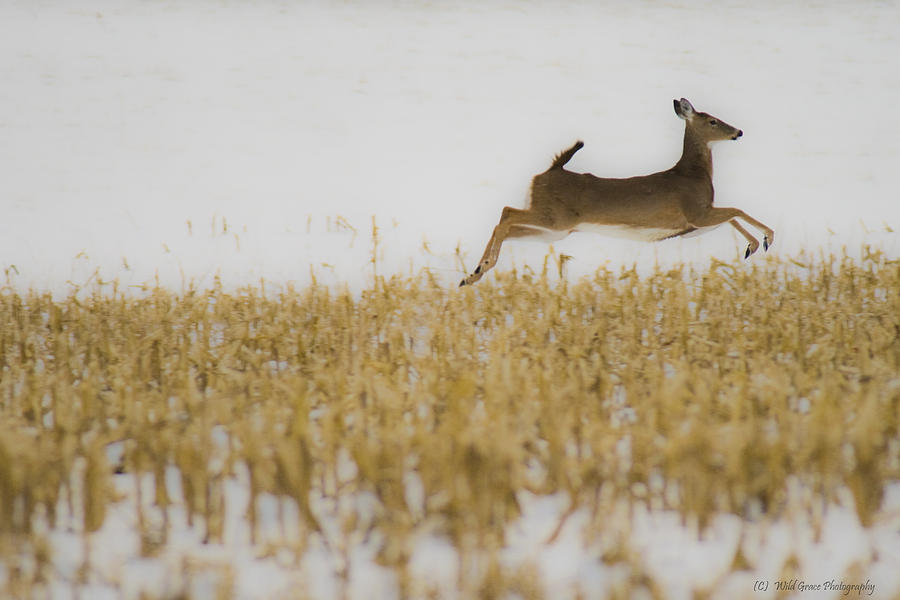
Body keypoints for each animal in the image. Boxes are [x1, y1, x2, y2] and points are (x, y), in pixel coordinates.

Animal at [460, 98, 776, 286]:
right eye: (712, 120)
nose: (738, 132)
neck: (692, 174)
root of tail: (548, 171)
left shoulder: (699, 221)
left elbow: (732, 217)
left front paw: (752, 246)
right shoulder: (696, 212)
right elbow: (737, 210)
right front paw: (765, 239)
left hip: (555, 231)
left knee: (508, 222)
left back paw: (473, 274)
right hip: (554, 219)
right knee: (506, 214)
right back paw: (480, 268)